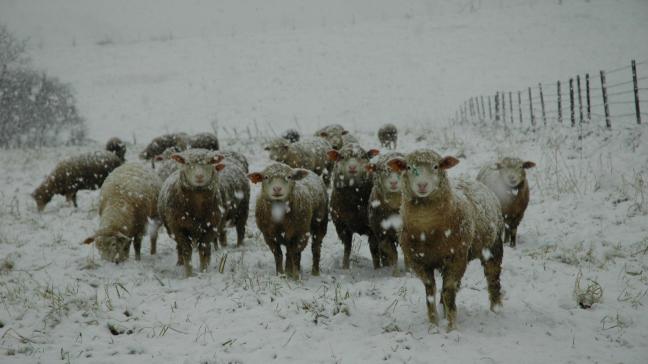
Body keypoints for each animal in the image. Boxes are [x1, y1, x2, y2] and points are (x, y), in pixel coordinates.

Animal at [384, 149, 506, 330]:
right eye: (408, 167)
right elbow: (431, 290)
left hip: (492, 247)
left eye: (436, 166)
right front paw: (433, 324)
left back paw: (496, 310)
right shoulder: (418, 261)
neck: (428, 230)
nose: (422, 185)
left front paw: (451, 327)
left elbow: (449, 291)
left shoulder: (456, 257)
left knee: (493, 277)